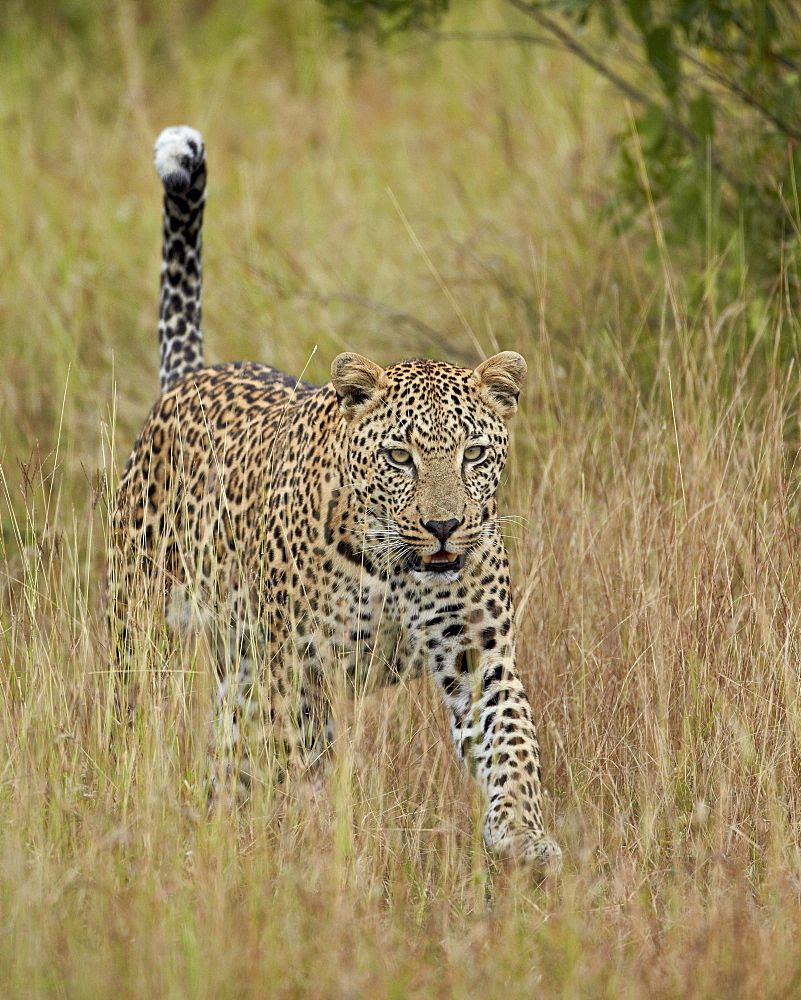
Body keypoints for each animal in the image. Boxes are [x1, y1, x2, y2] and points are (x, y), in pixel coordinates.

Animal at [111, 121, 564, 864]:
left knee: (232, 752)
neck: (396, 567)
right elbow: (302, 756)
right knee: (146, 707)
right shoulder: (301, 665)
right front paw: (320, 843)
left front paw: (523, 835)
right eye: (400, 457)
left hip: (242, 662)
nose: (444, 527)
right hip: (148, 620)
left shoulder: (476, 650)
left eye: (473, 454)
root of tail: (191, 376)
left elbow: (512, 739)